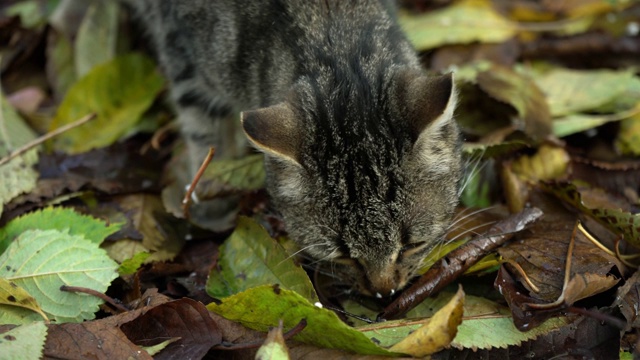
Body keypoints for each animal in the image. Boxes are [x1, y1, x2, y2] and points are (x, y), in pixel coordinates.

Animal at [125, 0, 462, 298]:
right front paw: (209, 205)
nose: (385, 292)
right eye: (342, 255)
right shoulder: (182, 59)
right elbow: (204, 133)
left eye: (412, 244)